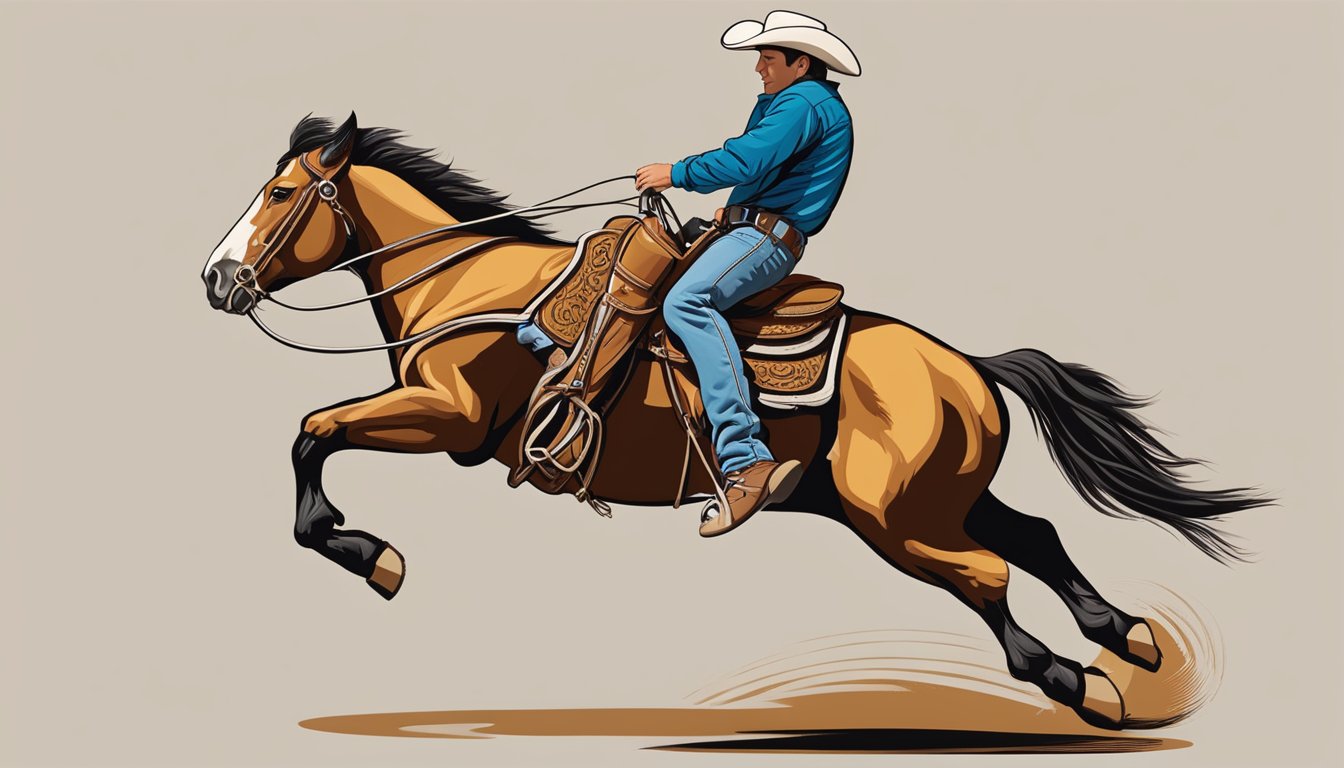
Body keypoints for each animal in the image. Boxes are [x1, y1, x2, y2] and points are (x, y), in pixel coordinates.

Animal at [196, 115, 1257, 731]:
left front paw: (371, 555)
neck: (470, 289)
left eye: (281, 193)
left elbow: (310, 430)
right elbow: (313, 431)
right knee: (1032, 536)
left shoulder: (446, 417)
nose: (216, 278)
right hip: (923, 500)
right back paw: (1128, 638)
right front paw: (365, 549)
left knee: (990, 574)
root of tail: (966, 366)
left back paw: (1082, 682)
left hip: (898, 520)